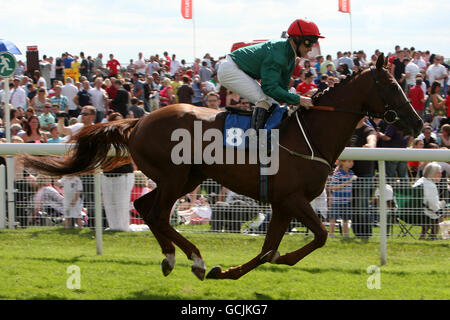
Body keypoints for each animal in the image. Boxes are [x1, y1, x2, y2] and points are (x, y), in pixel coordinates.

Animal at [22, 54, 424, 280]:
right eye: (391, 85)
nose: (418, 123)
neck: (311, 134)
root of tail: (139, 120)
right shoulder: (293, 199)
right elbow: (318, 237)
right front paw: (277, 260)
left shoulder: (282, 204)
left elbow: (268, 250)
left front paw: (227, 273)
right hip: (174, 177)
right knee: (157, 214)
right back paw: (194, 260)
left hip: (187, 179)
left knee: (144, 207)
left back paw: (173, 258)